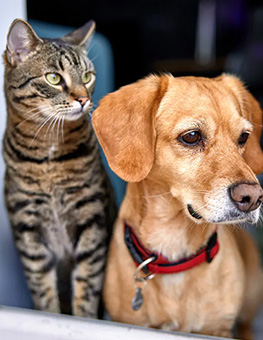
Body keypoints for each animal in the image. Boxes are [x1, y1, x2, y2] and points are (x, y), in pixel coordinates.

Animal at [2, 17, 114, 316]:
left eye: (87, 77)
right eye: (53, 78)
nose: (84, 99)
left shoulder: (91, 219)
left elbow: (87, 284)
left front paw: (85, 318)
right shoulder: (28, 227)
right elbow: (42, 288)